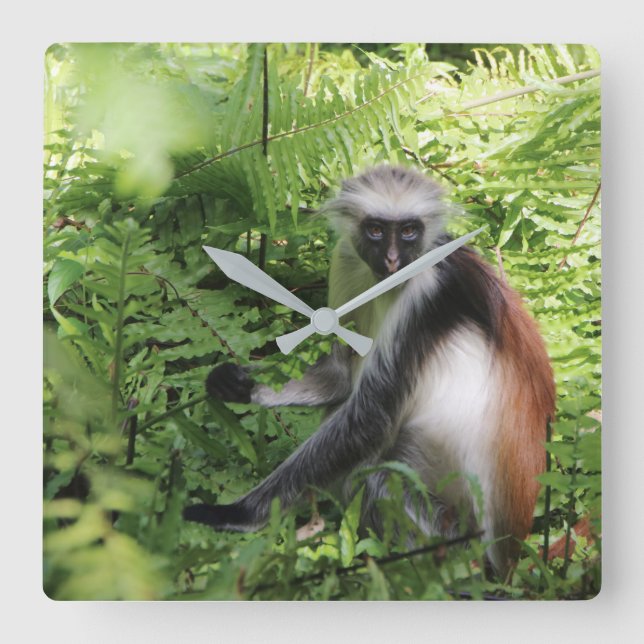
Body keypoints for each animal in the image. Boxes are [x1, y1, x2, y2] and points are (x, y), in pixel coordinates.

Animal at [184, 165, 555, 577]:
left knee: (381, 478)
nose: (392, 259)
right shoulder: (347, 257)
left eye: (408, 230)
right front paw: (240, 385)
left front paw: (237, 513)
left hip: (452, 537)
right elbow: (340, 376)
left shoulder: (425, 295)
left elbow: (371, 421)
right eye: (376, 229)